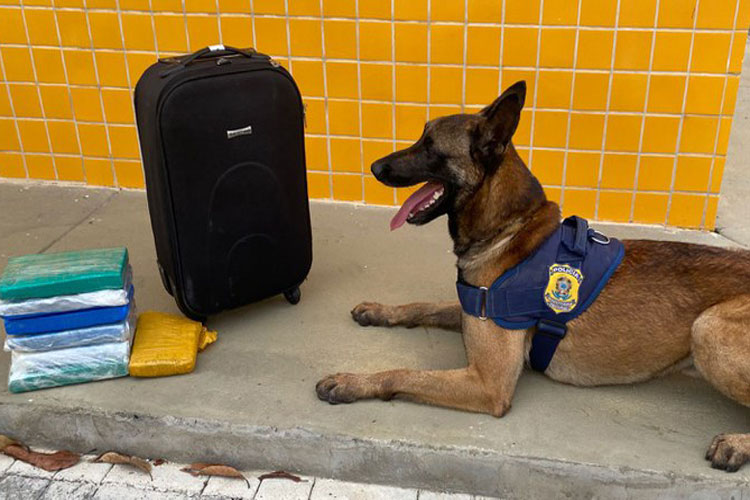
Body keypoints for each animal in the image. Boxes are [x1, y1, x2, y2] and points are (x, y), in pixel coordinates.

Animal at [316, 81, 750, 472]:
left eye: (430, 145)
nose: (374, 167)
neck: (510, 229)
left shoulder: (488, 383)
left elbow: (405, 373)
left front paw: (351, 382)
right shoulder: (472, 308)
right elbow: (424, 305)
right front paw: (379, 311)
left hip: (707, 329)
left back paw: (737, 444)